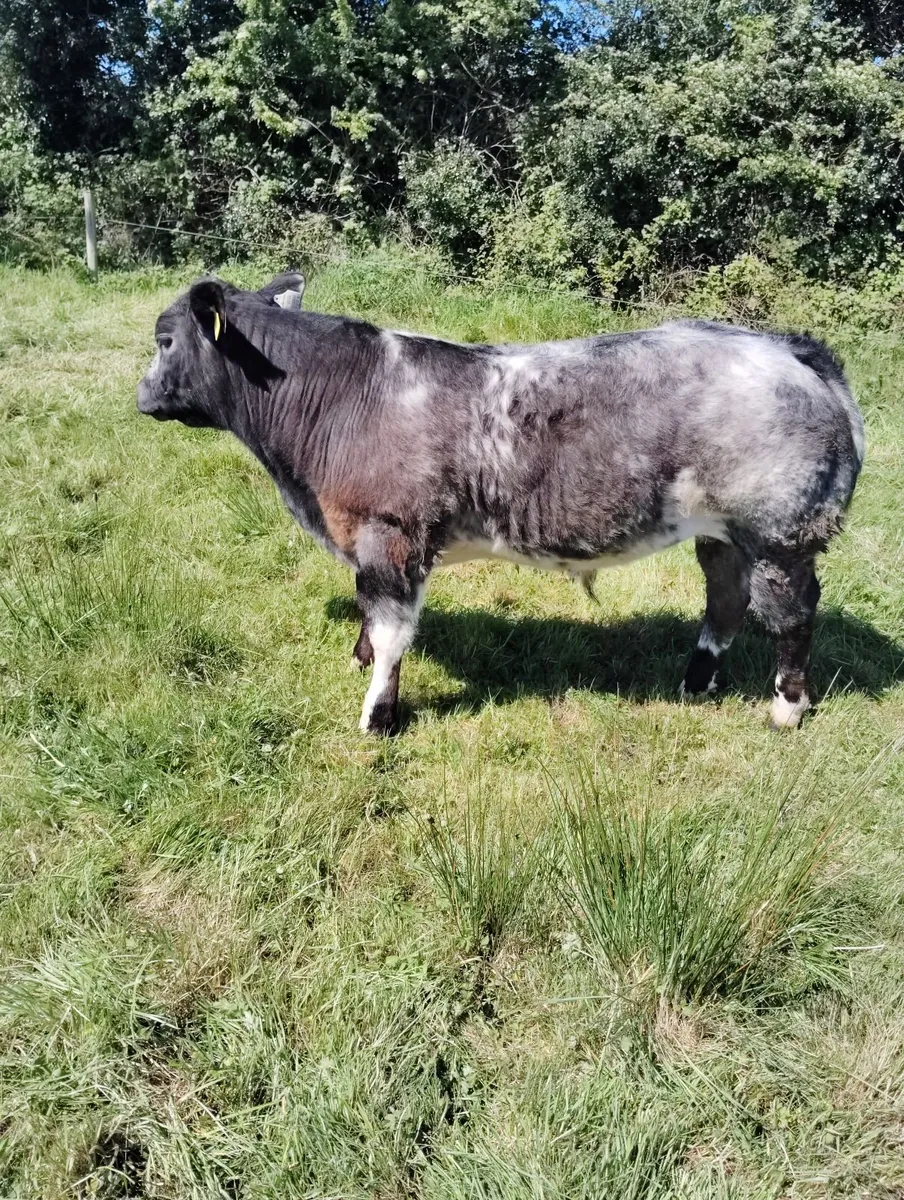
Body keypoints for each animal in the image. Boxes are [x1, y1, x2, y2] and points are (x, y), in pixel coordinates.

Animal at [137, 273, 865, 736]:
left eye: (165, 340)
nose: (141, 398)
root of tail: (786, 346)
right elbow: (370, 615)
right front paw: (359, 658)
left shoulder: (392, 535)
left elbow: (393, 628)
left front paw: (377, 717)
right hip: (720, 530)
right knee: (725, 598)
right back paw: (695, 680)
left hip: (782, 534)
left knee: (792, 614)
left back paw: (786, 708)